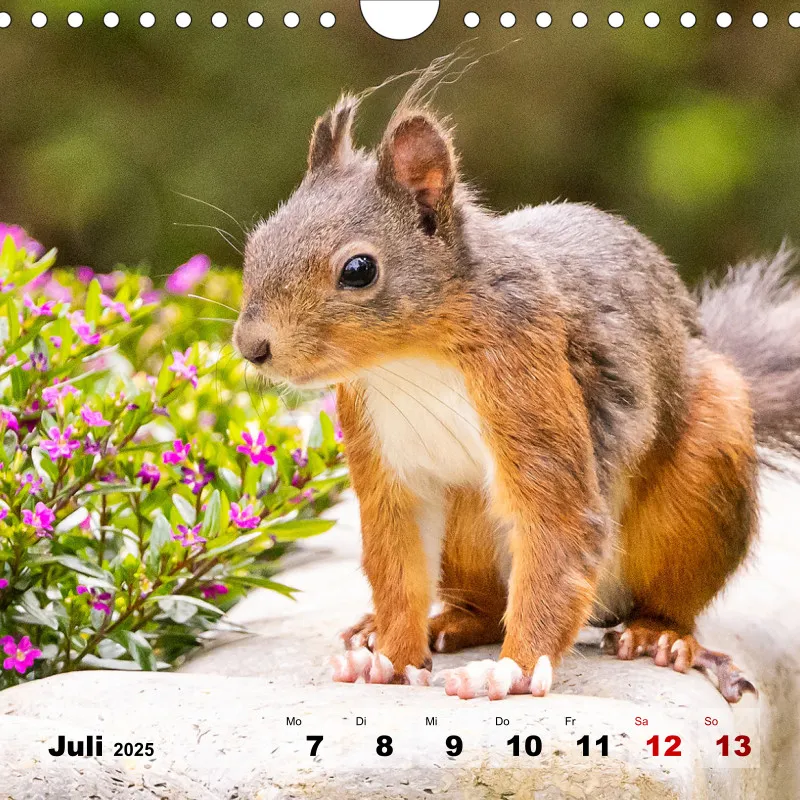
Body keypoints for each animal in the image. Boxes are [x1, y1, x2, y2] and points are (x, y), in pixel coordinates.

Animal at [233, 70, 800, 703]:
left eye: (359, 270)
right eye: (258, 244)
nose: (252, 347)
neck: (410, 361)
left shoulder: (529, 376)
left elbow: (559, 524)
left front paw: (514, 671)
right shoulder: (382, 454)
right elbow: (396, 562)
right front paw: (390, 657)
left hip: (703, 473)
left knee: (668, 595)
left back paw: (659, 634)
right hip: (469, 522)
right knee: (483, 605)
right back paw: (425, 625)